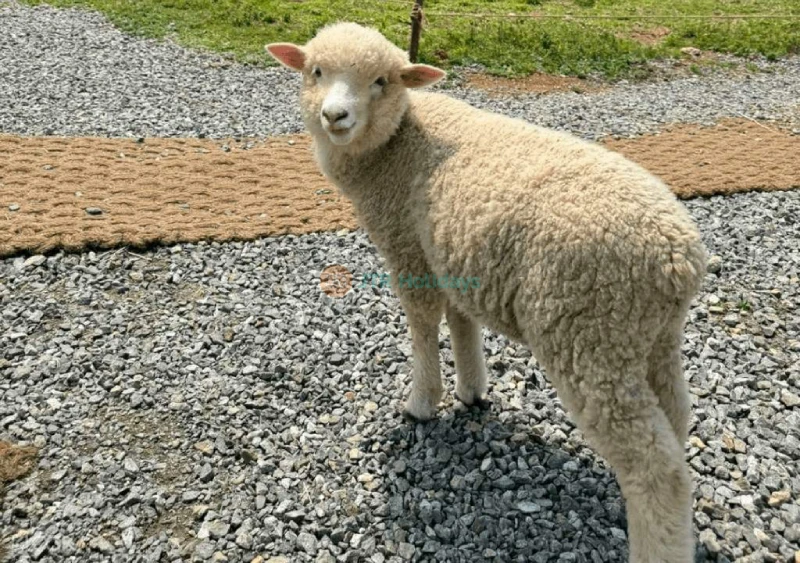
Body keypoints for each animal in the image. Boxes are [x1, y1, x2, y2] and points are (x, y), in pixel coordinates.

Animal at [268, 22, 707, 563]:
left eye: (381, 82)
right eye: (316, 71)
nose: (335, 116)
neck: (395, 145)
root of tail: (678, 258)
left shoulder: (408, 248)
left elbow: (423, 324)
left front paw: (423, 402)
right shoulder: (454, 255)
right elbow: (462, 322)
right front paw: (472, 390)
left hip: (591, 338)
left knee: (655, 470)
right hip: (650, 337)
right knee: (676, 420)